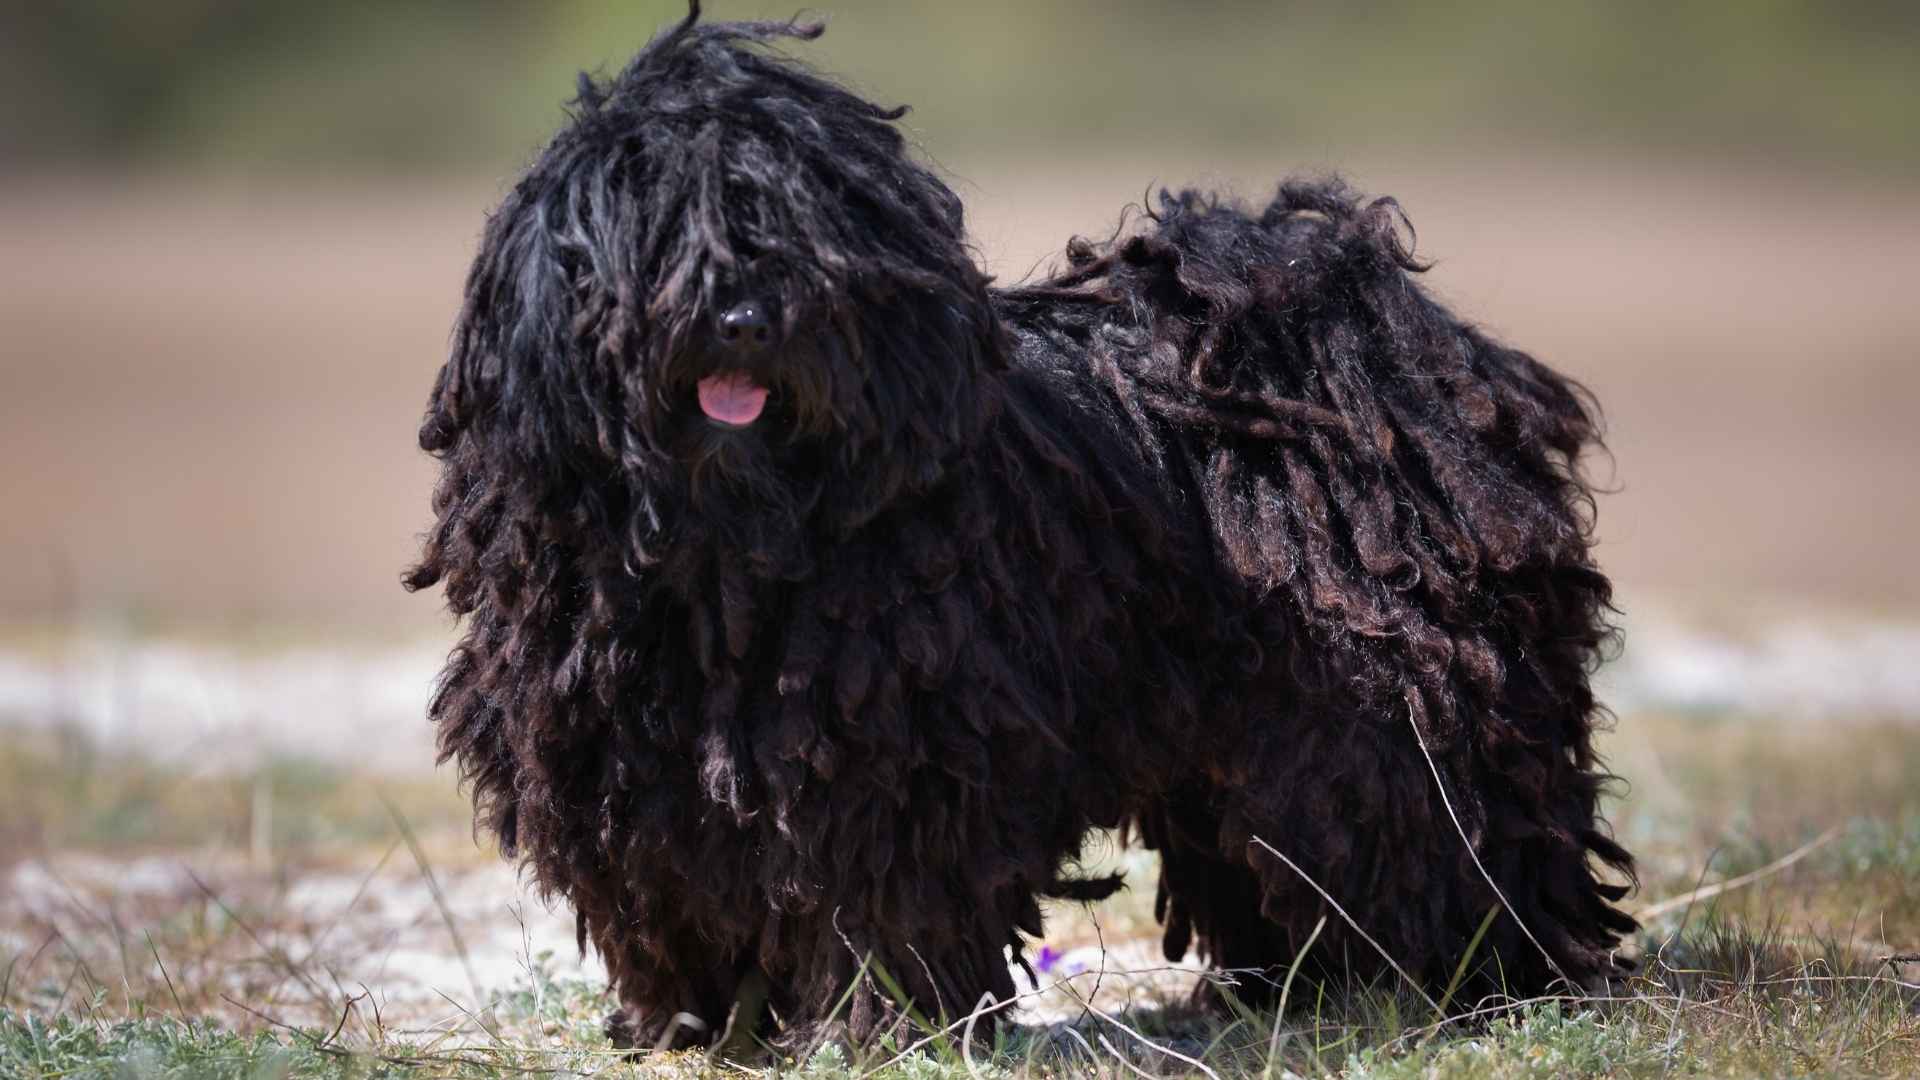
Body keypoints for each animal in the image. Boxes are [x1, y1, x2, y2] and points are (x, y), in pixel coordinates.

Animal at [405, 4, 1635, 1045]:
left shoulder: (898, 755)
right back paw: (1298, 983)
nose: (744, 318)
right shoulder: (622, 762)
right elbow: (667, 891)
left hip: (1398, 699)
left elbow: (877, 898)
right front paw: (694, 1023)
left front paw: (877, 1028)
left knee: (1444, 821)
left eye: (799, 233)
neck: (731, 559)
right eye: (658, 225)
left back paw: (1478, 976)